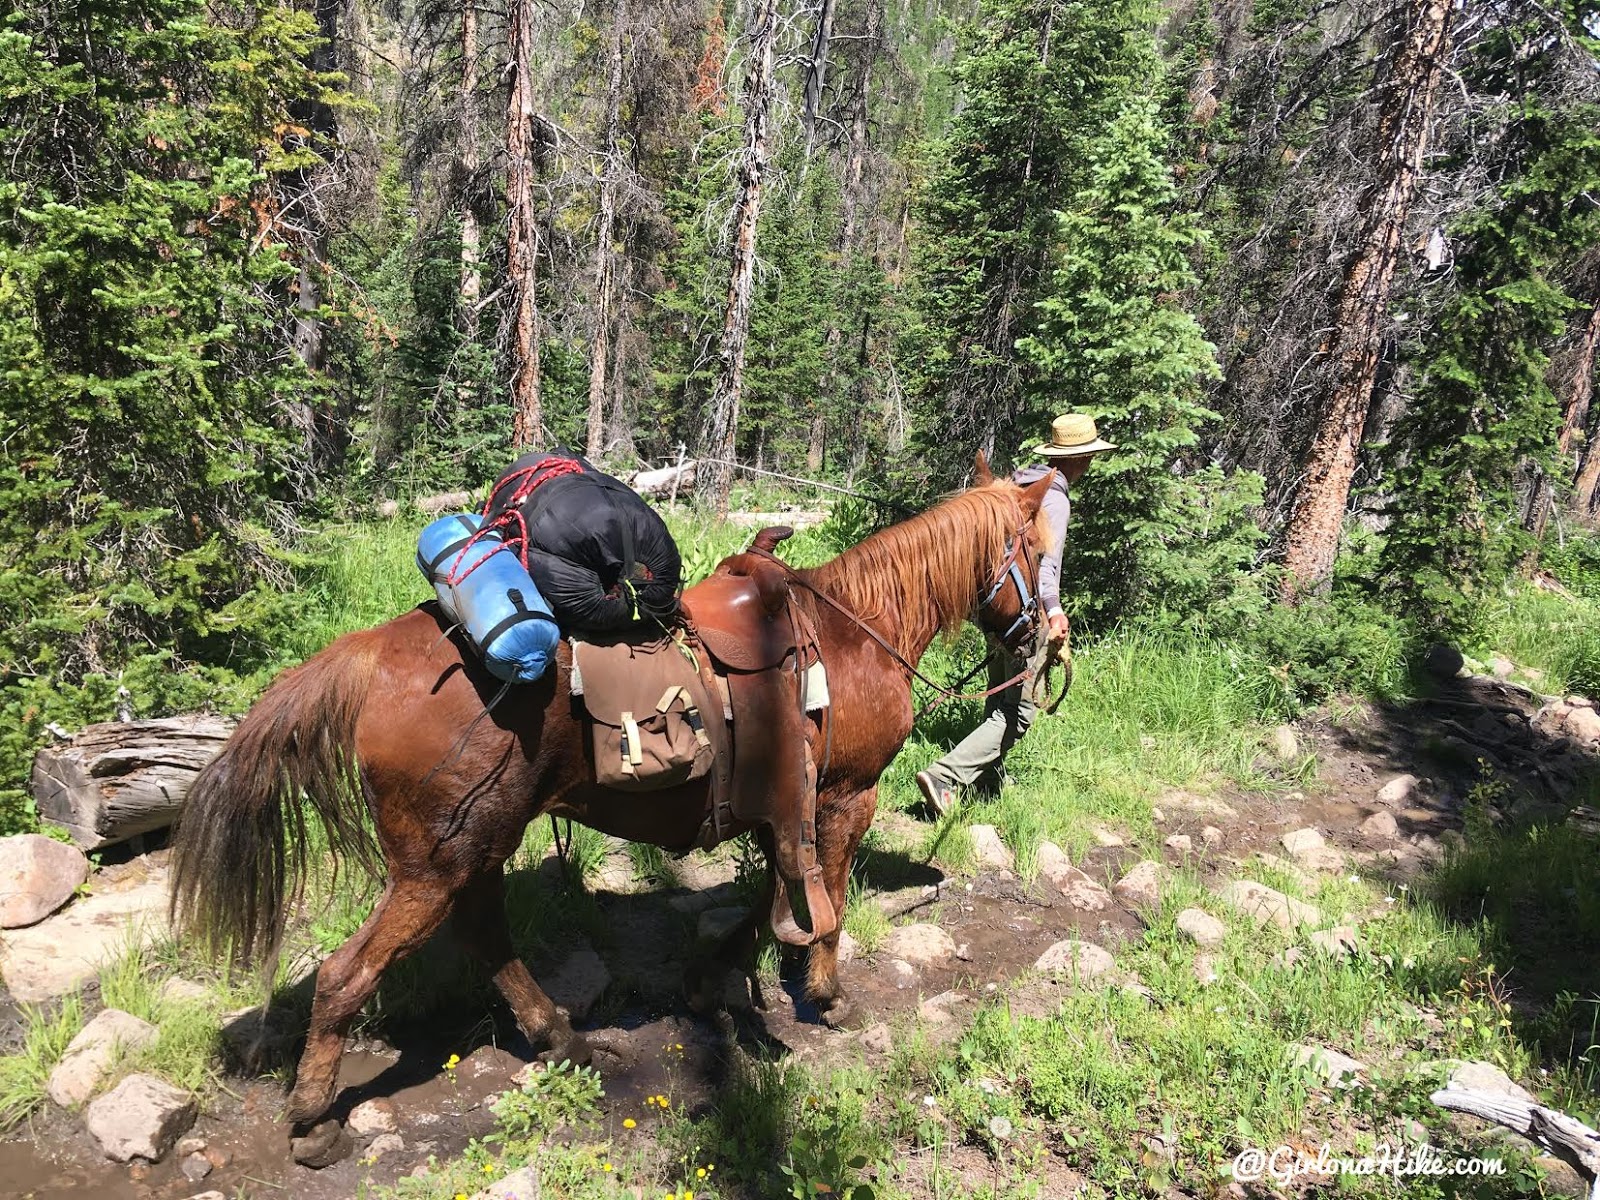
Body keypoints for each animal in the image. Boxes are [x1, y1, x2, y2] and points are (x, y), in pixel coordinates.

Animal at [168, 454, 1056, 1145]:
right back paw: (314, 1119)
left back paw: (562, 1039)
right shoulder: (843, 797)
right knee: (350, 973)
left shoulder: (784, 803)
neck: (858, 632)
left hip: (478, 844)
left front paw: (712, 979)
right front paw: (829, 997)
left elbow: (769, 894)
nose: (1050, 635)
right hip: (432, 863)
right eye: (1042, 549)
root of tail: (367, 655)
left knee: (485, 932)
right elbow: (825, 900)